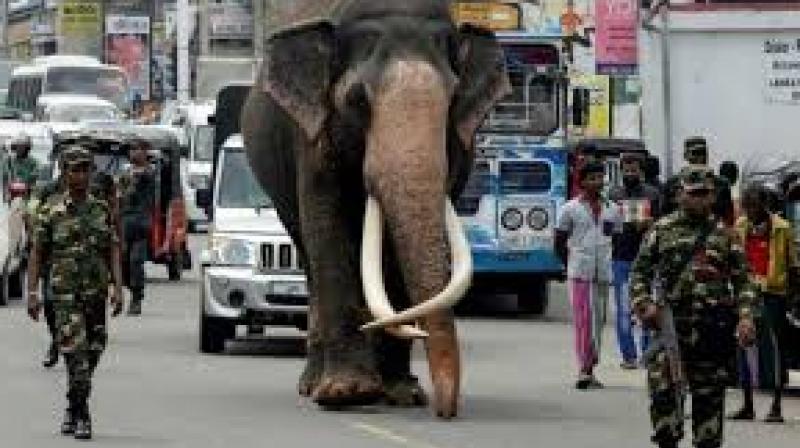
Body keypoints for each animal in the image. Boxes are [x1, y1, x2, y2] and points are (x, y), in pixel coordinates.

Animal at [241, 0, 510, 420]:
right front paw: (344, 393)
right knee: (308, 253)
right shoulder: (312, 139)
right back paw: (312, 385)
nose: (446, 411)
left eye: (452, 100)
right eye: (357, 100)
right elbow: (327, 229)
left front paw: (403, 394)